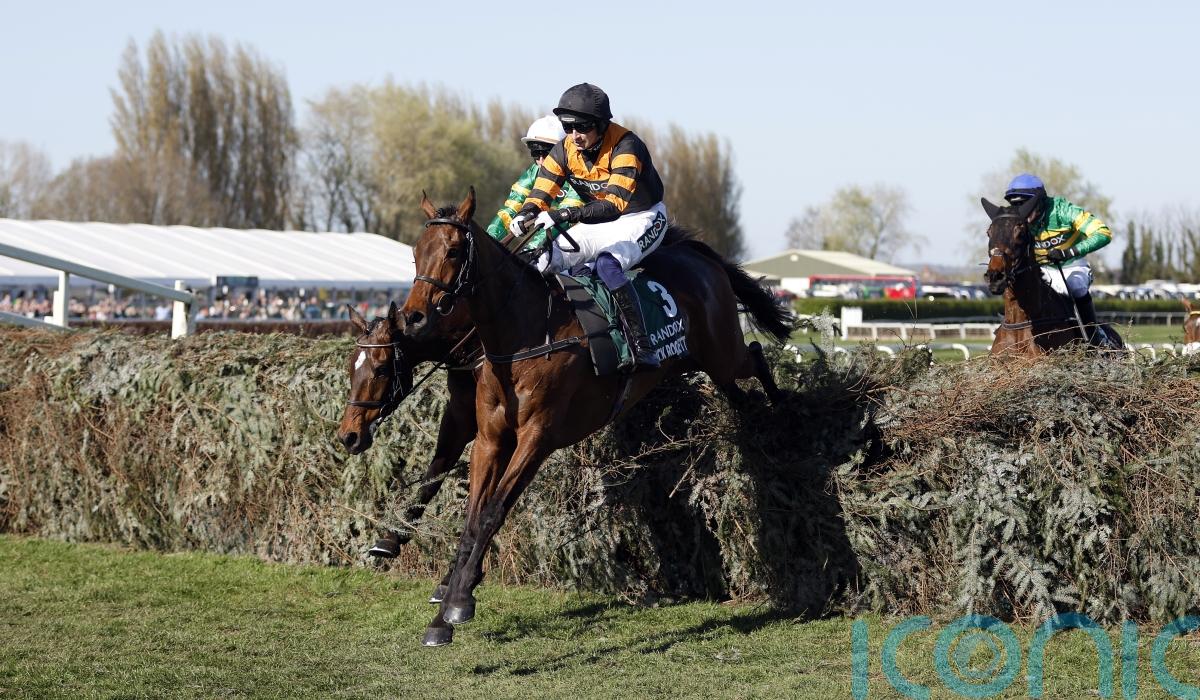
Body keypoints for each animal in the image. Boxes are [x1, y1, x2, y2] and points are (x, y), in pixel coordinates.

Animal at [336, 300, 480, 563]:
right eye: (351, 367)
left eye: (381, 369)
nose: (348, 437)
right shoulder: (460, 417)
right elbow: (433, 475)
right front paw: (393, 536)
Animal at [401, 188, 793, 646]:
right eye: (416, 252)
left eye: (453, 250)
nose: (412, 317)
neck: (524, 335)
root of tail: (698, 256)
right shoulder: (490, 439)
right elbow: (471, 521)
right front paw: (444, 614)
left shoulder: (537, 437)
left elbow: (492, 513)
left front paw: (460, 599)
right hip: (702, 364)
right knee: (741, 392)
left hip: (723, 352)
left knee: (757, 356)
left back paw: (783, 416)